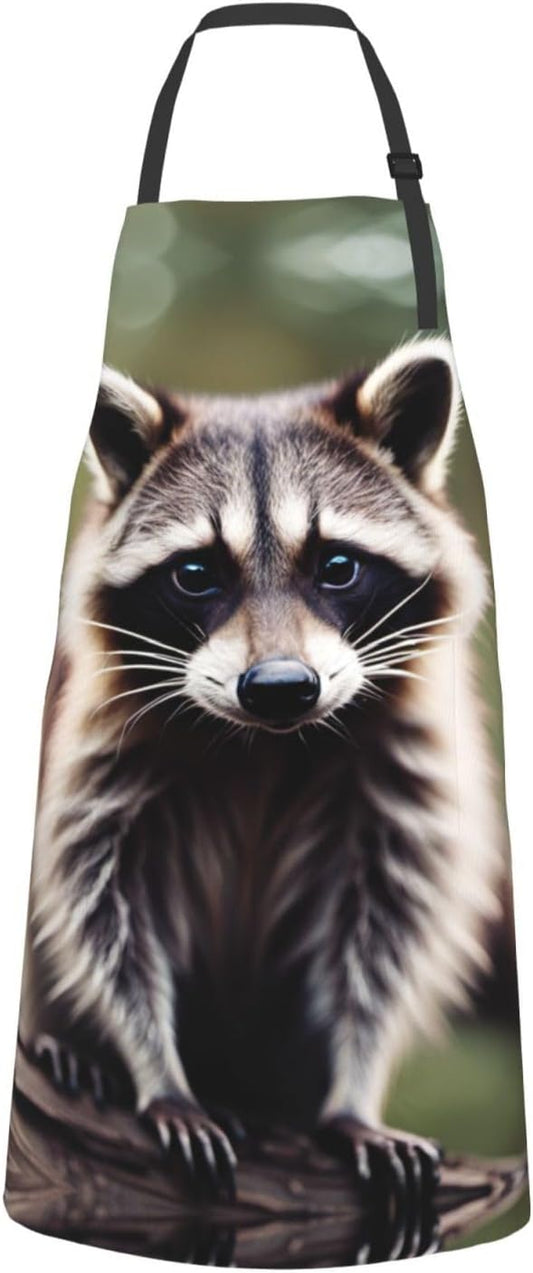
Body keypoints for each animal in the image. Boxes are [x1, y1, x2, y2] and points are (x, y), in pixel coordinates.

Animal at [21, 338, 502, 1218]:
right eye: (196, 573)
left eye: (338, 566)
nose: (280, 686)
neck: (266, 741)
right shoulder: (102, 752)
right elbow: (104, 909)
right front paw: (155, 1069)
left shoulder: (405, 771)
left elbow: (383, 934)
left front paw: (351, 1091)